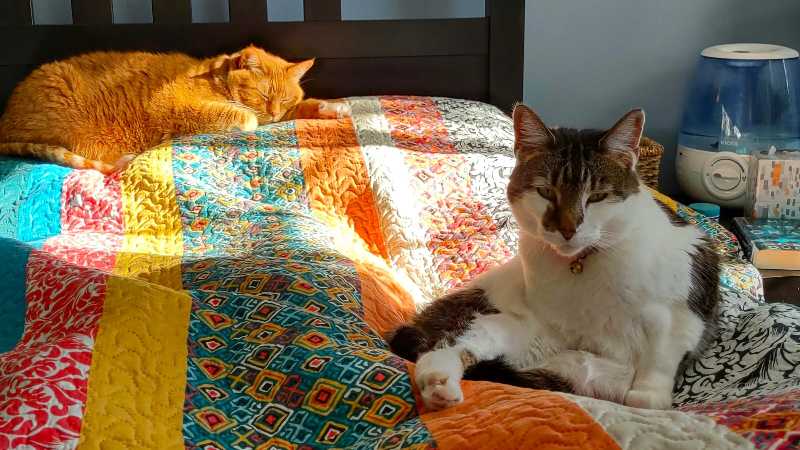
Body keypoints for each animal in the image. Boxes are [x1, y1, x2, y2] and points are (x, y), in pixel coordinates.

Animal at [0, 45, 342, 172]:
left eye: (283, 99)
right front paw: (247, 119)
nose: (272, 111)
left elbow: (302, 110)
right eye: (262, 93)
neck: (215, 79)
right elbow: (242, 116)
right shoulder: (171, 104)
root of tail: (5, 121)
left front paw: (327, 108)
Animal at [390, 104, 720, 412]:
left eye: (597, 196)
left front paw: (648, 396)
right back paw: (437, 384)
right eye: (546, 192)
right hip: (500, 322)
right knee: (452, 345)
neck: (584, 264)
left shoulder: (684, 294)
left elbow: (662, 353)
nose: (568, 228)